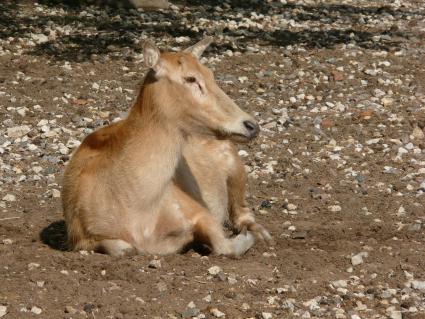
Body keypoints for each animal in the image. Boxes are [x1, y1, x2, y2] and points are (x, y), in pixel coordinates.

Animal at [61, 37, 270, 258]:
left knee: (242, 210)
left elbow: (223, 245)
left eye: (210, 74)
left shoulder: (199, 211)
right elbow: (122, 248)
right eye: (190, 79)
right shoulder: (78, 237)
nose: (251, 125)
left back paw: (261, 233)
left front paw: (247, 238)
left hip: (235, 166)